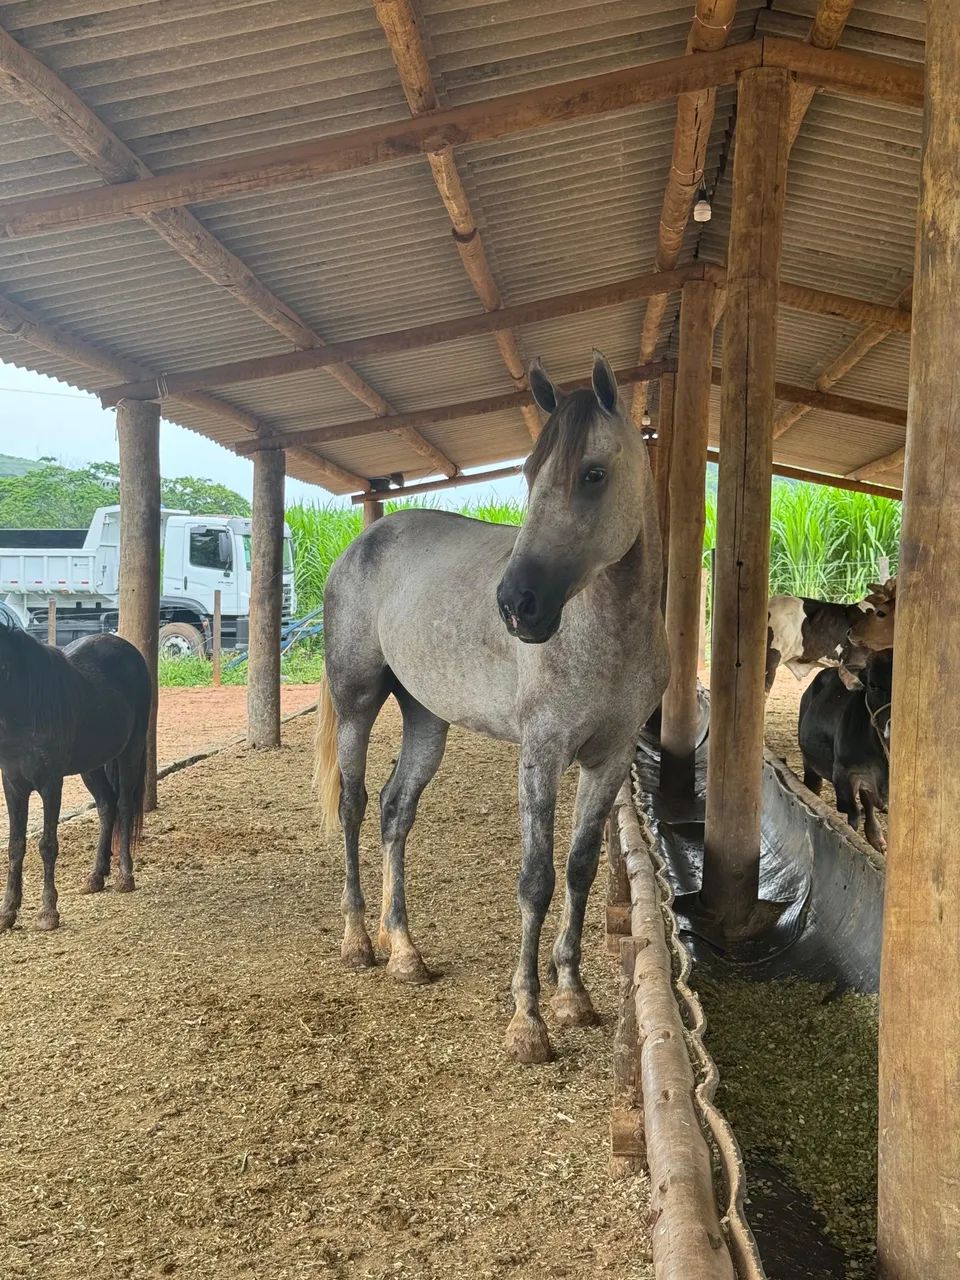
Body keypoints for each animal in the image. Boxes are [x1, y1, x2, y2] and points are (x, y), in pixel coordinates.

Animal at [0, 627, 151, 930]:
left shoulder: (50, 784)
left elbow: (47, 845)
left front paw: (48, 912)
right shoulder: (12, 785)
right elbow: (15, 846)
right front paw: (8, 912)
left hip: (131, 750)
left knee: (125, 806)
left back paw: (125, 876)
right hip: (92, 766)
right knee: (107, 806)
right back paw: (96, 876)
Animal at [314, 351, 668, 1063]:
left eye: (593, 474)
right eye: (529, 473)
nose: (517, 605)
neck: (608, 633)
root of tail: (363, 542)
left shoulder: (610, 757)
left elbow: (579, 869)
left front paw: (572, 996)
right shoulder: (542, 751)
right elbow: (535, 878)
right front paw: (527, 1022)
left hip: (426, 717)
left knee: (395, 810)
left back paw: (405, 950)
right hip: (358, 702)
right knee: (355, 805)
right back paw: (359, 940)